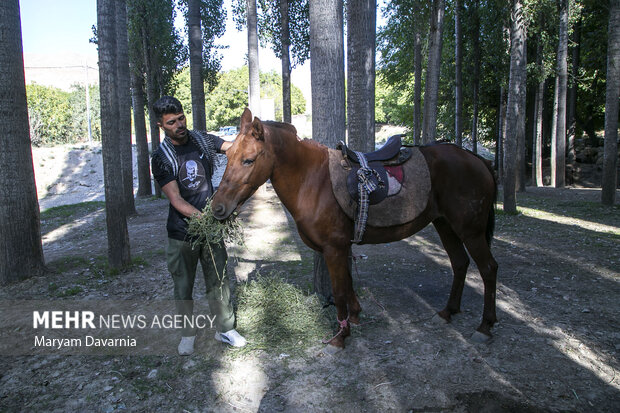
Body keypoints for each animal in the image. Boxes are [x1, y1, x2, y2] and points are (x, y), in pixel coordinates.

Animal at [213, 107, 498, 348]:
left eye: (249, 160)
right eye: (227, 155)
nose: (217, 208)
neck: (312, 181)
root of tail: (478, 160)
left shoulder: (334, 248)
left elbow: (339, 291)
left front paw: (341, 335)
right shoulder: (341, 248)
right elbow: (348, 284)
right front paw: (356, 318)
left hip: (470, 230)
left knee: (488, 268)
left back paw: (485, 326)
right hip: (445, 225)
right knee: (460, 263)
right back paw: (448, 312)